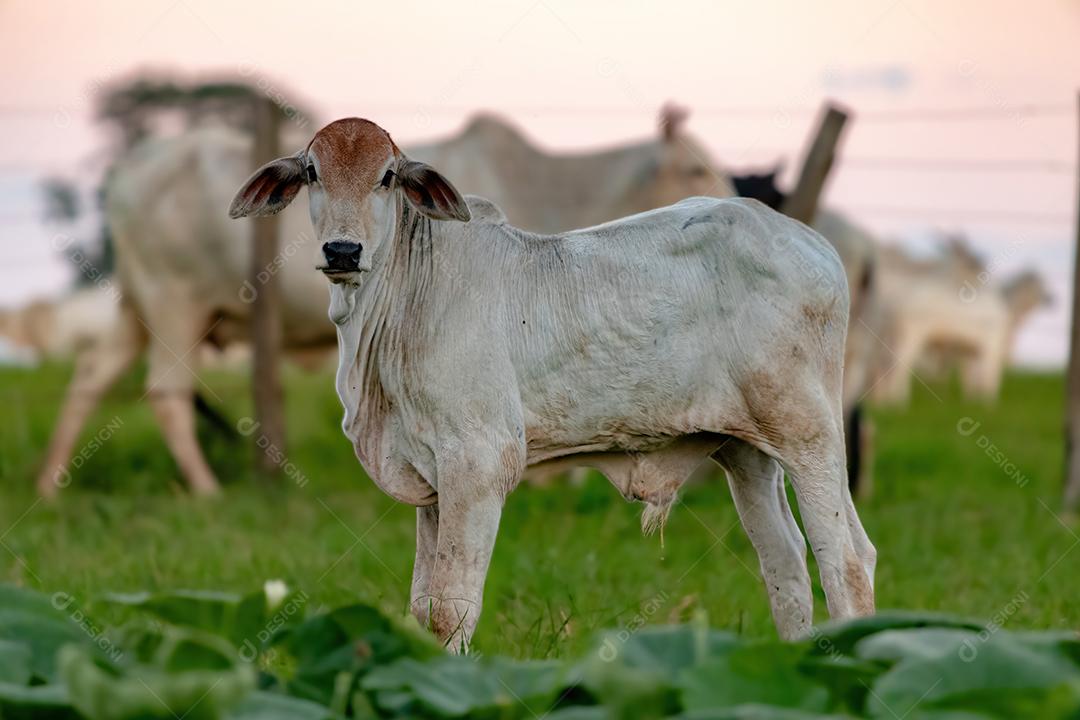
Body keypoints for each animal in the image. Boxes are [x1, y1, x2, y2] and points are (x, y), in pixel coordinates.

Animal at [230, 119, 876, 651]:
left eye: (386, 176)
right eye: (313, 171)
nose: (342, 250)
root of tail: (812, 241)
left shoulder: (479, 464)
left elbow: (452, 611)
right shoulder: (433, 481)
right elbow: (422, 608)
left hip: (809, 434)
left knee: (846, 559)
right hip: (746, 450)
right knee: (786, 565)